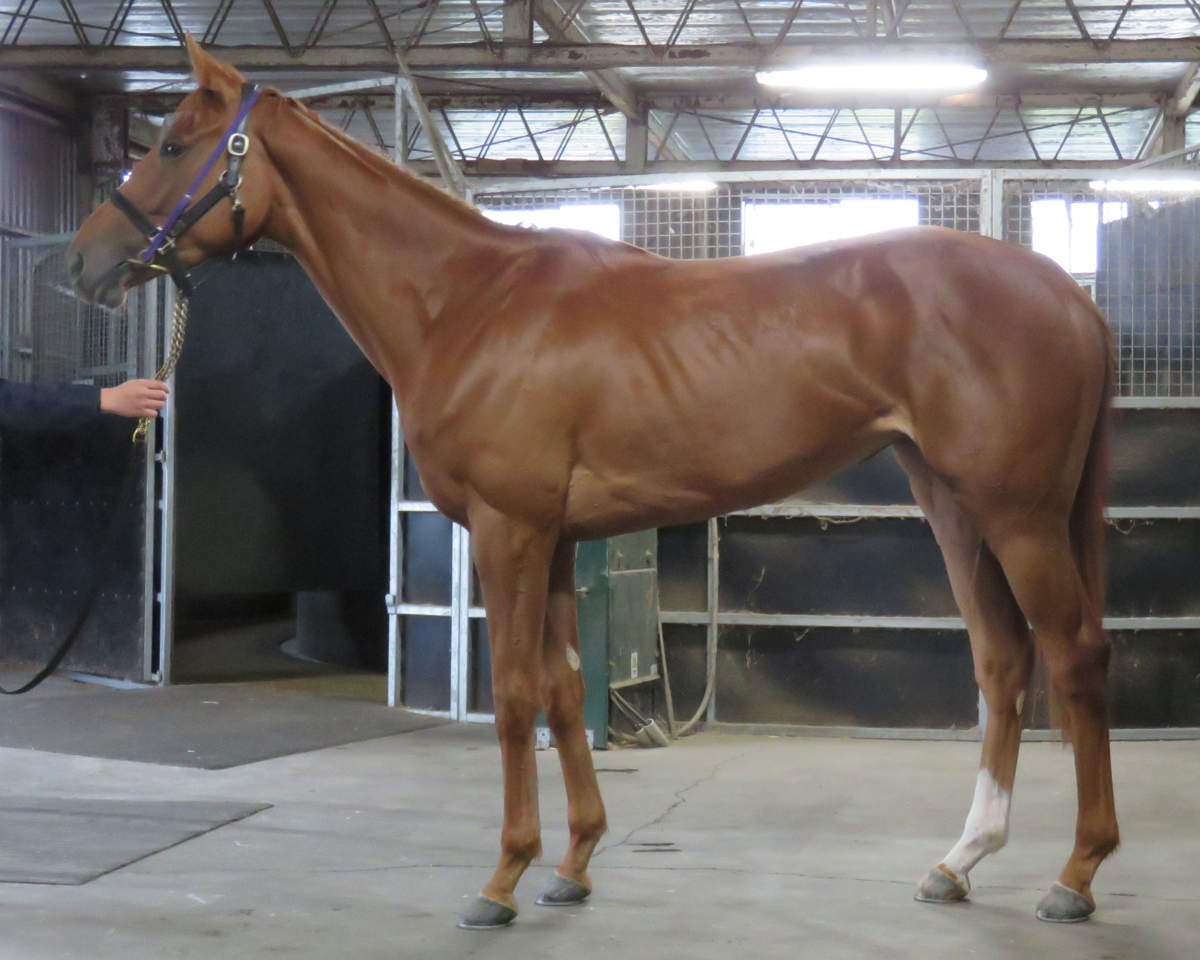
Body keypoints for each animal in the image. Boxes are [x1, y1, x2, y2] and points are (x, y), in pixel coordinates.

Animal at [67, 38, 1118, 929]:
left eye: (173, 144)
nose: (82, 263)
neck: (468, 303)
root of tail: (1070, 296)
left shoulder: (508, 532)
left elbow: (513, 696)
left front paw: (500, 878)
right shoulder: (560, 540)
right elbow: (568, 692)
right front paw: (571, 866)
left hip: (1019, 516)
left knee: (1072, 655)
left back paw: (1074, 877)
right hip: (953, 506)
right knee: (1002, 659)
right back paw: (960, 862)